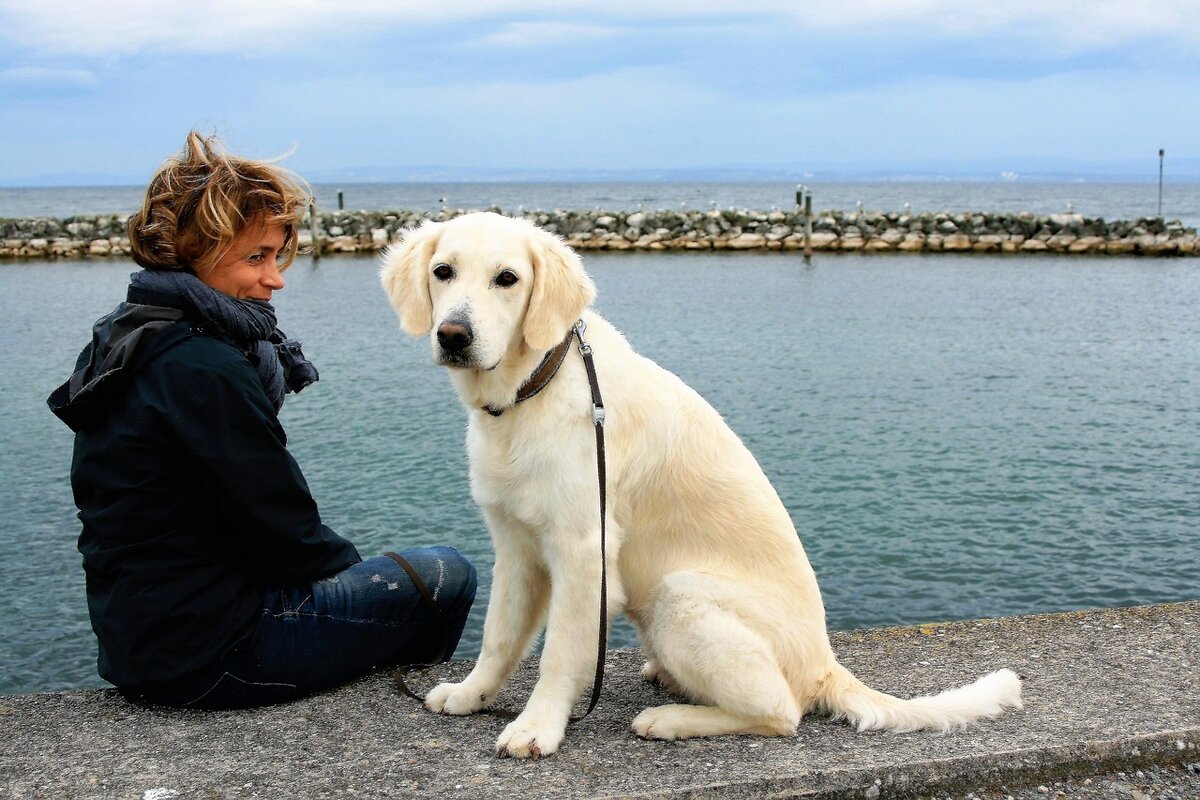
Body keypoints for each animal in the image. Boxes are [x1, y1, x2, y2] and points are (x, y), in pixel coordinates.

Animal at [379, 211, 1017, 758]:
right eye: (443, 271)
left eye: (507, 279)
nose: (453, 335)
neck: (530, 389)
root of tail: (824, 664)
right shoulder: (515, 544)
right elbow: (499, 634)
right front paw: (471, 694)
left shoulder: (584, 549)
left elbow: (559, 652)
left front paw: (537, 727)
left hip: (681, 594)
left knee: (781, 712)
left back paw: (671, 720)